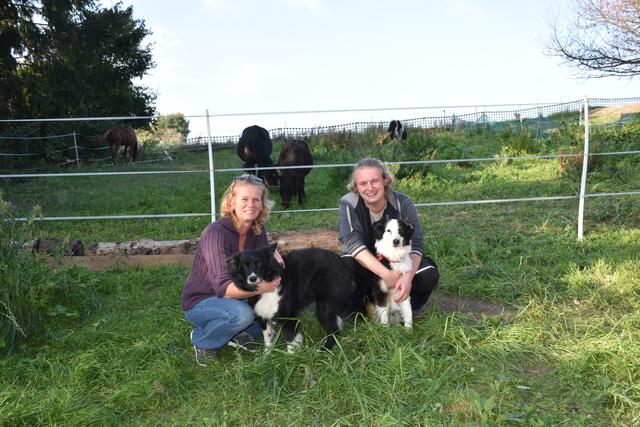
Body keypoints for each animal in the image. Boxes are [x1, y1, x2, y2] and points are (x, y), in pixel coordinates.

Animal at [226, 244, 356, 352]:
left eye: (259, 263)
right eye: (244, 265)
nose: (252, 278)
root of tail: (342, 263)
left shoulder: (288, 317)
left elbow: (290, 340)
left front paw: (291, 358)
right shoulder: (263, 316)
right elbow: (268, 340)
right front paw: (266, 357)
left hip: (324, 306)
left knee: (333, 330)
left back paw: (323, 350)